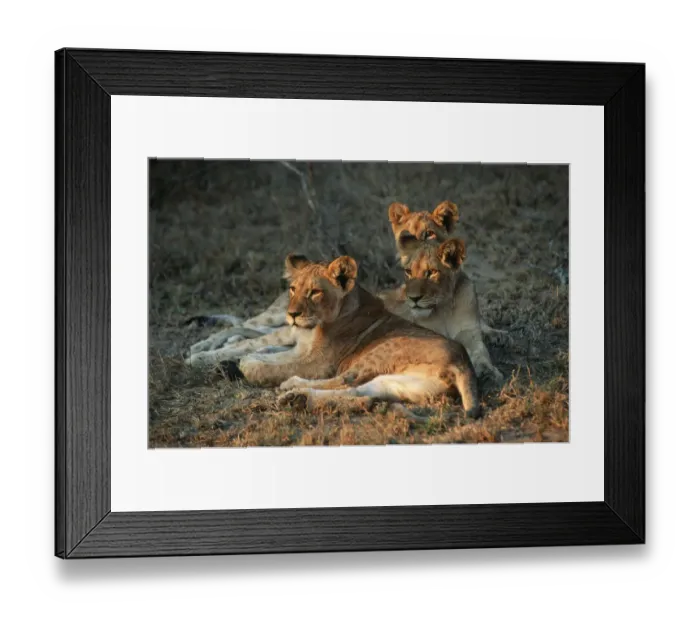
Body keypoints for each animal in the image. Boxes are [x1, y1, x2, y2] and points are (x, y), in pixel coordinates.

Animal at [226, 253, 480, 416]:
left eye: (315, 292)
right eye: (293, 289)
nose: (292, 314)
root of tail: (463, 361)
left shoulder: (319, 363)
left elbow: (278, 367)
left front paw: (248, 365)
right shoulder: (301, 349)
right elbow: (275, 356)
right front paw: (249, 356)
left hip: (380, 354)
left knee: (343, 381)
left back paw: (292, 388)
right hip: (402, 382)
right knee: (357, 390)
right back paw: (297, 398)